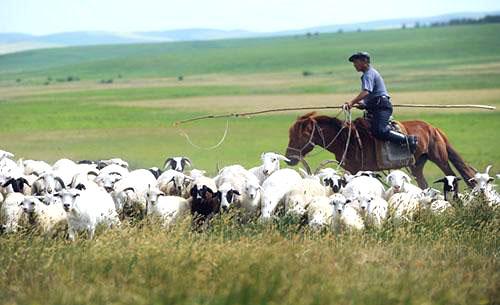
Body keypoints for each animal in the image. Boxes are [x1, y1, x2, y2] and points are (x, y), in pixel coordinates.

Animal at [286, 111, 476, 188]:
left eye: (300, 136)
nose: (289, 157)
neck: (346, 139)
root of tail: (433, 128)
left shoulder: (357, 170)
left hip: (440, 159)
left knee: (452, 175)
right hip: (417, 165)